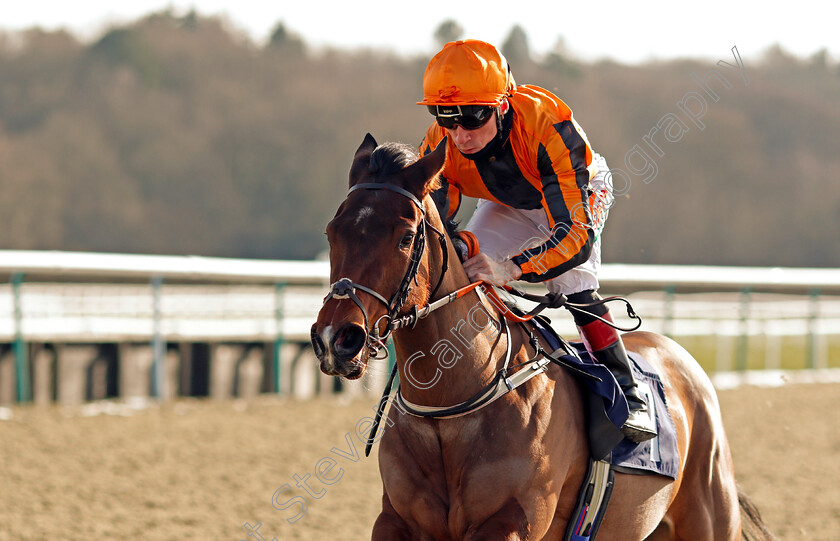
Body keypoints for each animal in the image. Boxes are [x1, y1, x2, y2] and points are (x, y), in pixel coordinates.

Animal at [310, 135, 776, 540]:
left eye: (406, 237)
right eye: (332, 231)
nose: (337, 338)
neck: (450, 410)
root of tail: (682, 357)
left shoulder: (511, 523)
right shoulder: (396, 521)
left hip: (709, 517)